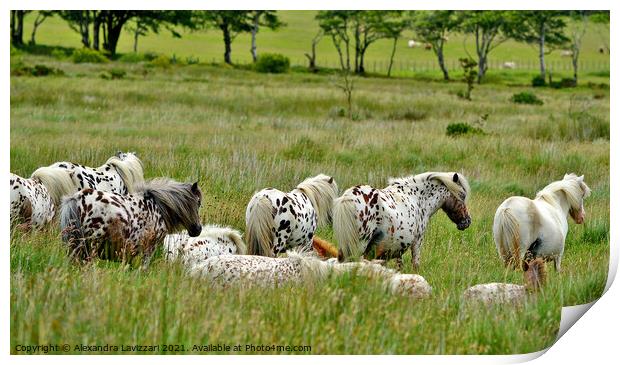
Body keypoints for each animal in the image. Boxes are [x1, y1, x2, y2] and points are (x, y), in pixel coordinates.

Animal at [334, 171, 470, 270]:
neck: (417, 198)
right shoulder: (417, 241)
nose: (467, 221)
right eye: (462, 196)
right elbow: (415, 264)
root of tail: (349, 197)